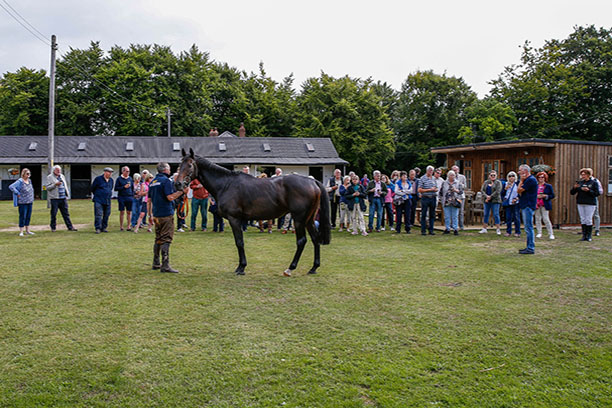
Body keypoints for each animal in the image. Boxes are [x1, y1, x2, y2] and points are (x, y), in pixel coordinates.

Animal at [175, 148, 332, 276]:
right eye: (180, 164)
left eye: (190, 165)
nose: (178, 184)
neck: (226, 184)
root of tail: (312, 182)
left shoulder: (234, 219)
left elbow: (239, 242)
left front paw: (241, 268)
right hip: (309, 219)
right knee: (315, 239)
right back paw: (313, 268)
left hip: (299, 220)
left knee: (302, 241)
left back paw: (290, 268)